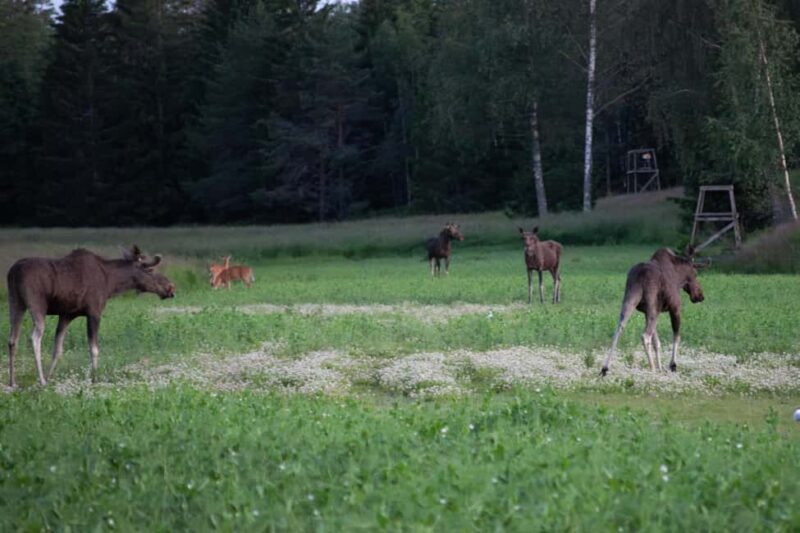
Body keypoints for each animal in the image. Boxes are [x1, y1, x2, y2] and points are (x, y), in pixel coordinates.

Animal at [6, 245, 175, 387]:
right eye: (150, 270)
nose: (171, 287)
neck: (111, 283)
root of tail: (13, 272)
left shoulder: (66, 315)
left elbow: (58, 350)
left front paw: (50, 377)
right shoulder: (94, 312)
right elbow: (94, 349)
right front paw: (94, 378)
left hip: (15, 303)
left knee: (12, 339)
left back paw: (12, 382)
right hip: (37, 304)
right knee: (34, 338)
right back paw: (40, 380)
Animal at [601, 246, 708, 376]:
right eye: (696, 274)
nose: (700, 296)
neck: (679, 277)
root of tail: (640, 275)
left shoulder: (647, 312)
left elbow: (657, 343)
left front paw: (661, 368)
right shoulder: (675, 308)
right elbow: (676, 336)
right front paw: (672, 365)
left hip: (630, 300)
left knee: (619, 327)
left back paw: (605, 368)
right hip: (652, 306)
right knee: (645, 335)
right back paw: (652, 369)